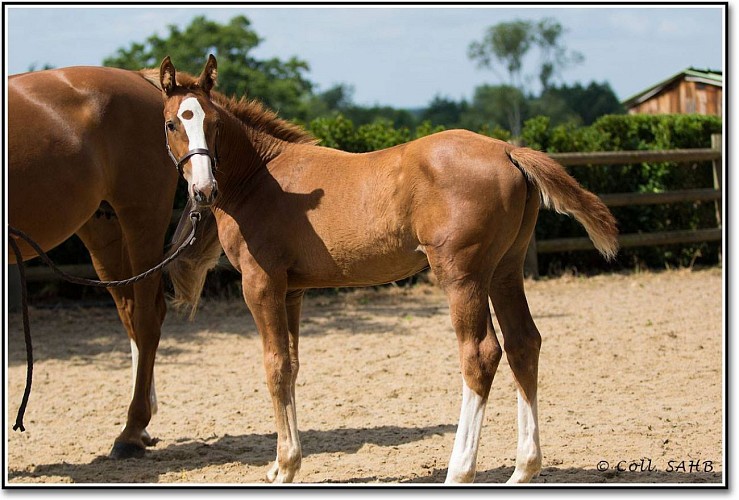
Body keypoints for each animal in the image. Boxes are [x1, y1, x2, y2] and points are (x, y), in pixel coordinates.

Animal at [8, 66, 181, 458]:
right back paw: (140, 426)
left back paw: (131, 432)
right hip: (103, 230)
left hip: (142, 217)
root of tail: (141, 80)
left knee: (146, 319)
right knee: (131, 314)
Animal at [160, 55, 619, 484]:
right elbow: (291, 365)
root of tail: (507, 150)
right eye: (171, 123)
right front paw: (279, 465)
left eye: (213, 123)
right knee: (524, 344)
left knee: (481, 354)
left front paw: (287, 466)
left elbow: (275, 366)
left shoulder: (262, 285)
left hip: (463, 276)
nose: (204, 190)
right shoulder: (292, 291)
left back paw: (460, 470)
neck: (261, 178)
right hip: (505, 271)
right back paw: (524, 468)